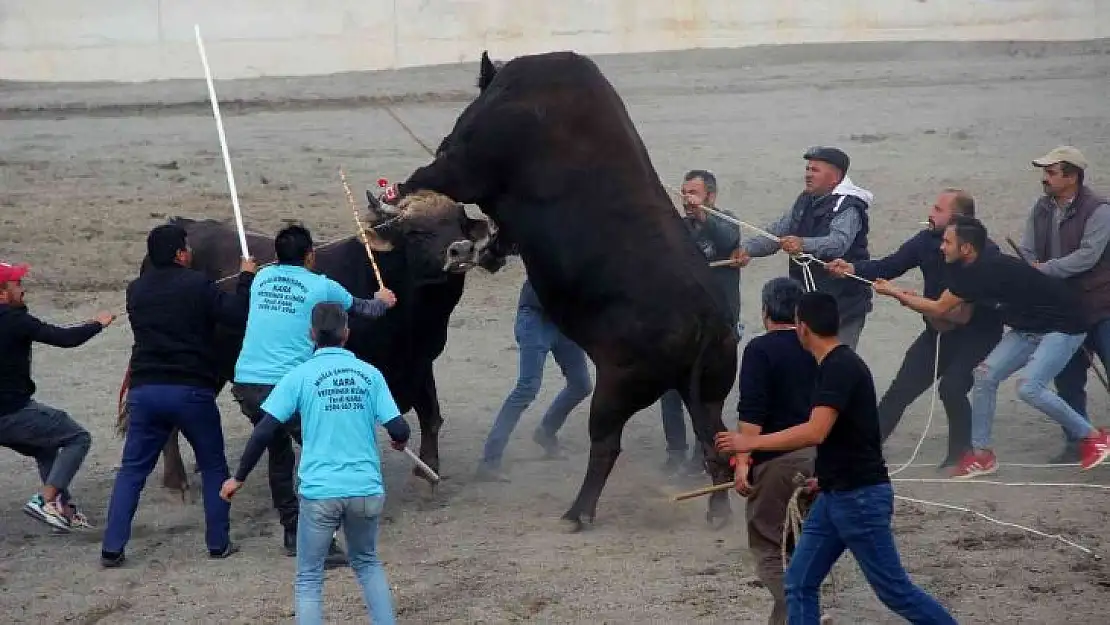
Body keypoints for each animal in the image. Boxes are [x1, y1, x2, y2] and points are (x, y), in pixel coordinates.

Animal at [119, 216, 466, 495]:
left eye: (460, 221)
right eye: (415, 233)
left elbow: (431, 415)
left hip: (208, 366)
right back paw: (177, 481)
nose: (460, 251)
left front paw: (427, 475)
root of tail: (186, 225)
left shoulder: (419, 363)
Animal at [386, 48, 741, 530]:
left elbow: (436, 172)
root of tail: (706, 319)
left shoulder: (465, 165)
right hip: (708, 392)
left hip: (616, 389)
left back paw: (579, 512)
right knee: (715, 444)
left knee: (606, 447)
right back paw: (717, 512)